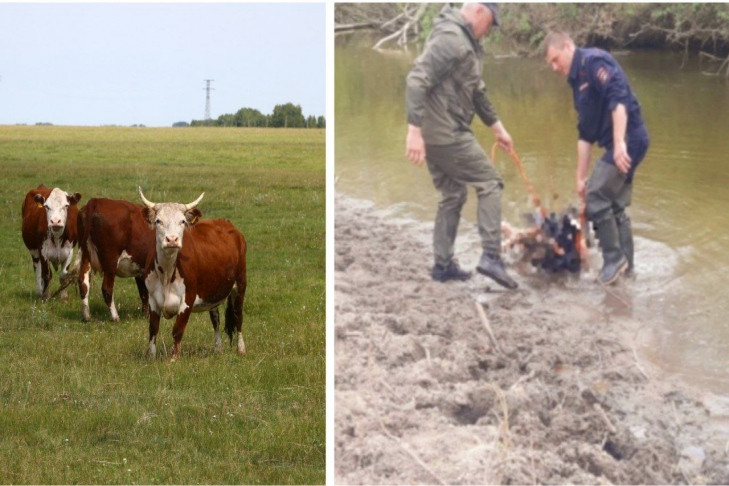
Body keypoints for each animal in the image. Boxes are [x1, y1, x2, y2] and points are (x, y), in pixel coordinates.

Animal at [137, 188, 247, 362]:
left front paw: (174, 359)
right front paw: (151, 356)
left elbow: (177, 330)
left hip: (240, 284)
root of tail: (227, 223)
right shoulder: (153, 300)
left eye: (182, 221)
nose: (172, 240)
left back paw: (241, 349)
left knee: (238, 316)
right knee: (215, 319)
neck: (166, 274)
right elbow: (153, 328)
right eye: (158, 221)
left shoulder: (187, 301)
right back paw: (218, 349)